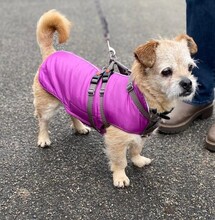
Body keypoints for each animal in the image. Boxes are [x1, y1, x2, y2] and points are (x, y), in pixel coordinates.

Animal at [33, 9, 198, 187]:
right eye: (166, 71)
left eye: (190, 68)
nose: (188, 83)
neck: (141, 97)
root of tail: (51, 53)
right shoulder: (116, 140)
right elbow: (120, 161)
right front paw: (120, 177)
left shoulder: (140, 135)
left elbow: (136, 149)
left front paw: (138, 160)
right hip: (47, 106)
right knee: (43, 122)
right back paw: (43, 138)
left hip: (71, 100)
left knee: (72, 113)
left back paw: (79, 127)